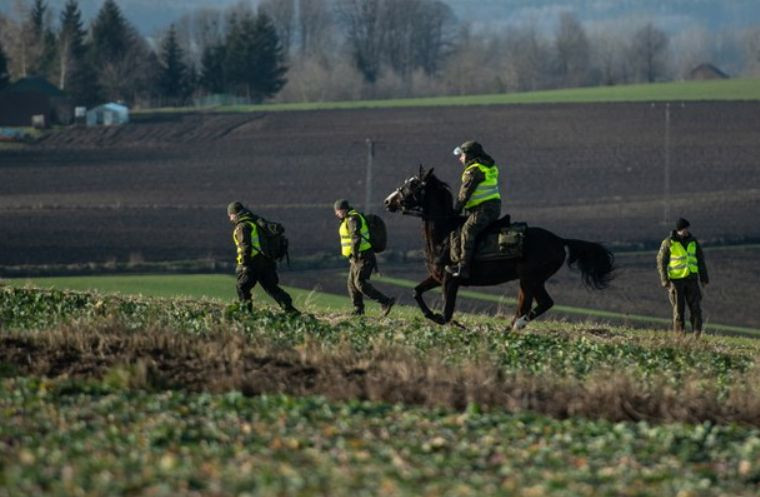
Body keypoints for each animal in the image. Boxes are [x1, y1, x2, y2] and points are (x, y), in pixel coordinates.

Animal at [382, 167, 616, 330]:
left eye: (413, 185)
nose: (388, 201)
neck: (444, 235)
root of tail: (559, 239)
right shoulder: (437, 277)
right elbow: (416, 292)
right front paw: (430, 315)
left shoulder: (450, 280)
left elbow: (447, 313)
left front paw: (449, 322)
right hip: (531, 280)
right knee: (535, 304)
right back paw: (510, 328)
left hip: (530, 278)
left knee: (536, 303)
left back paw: (516, 326)